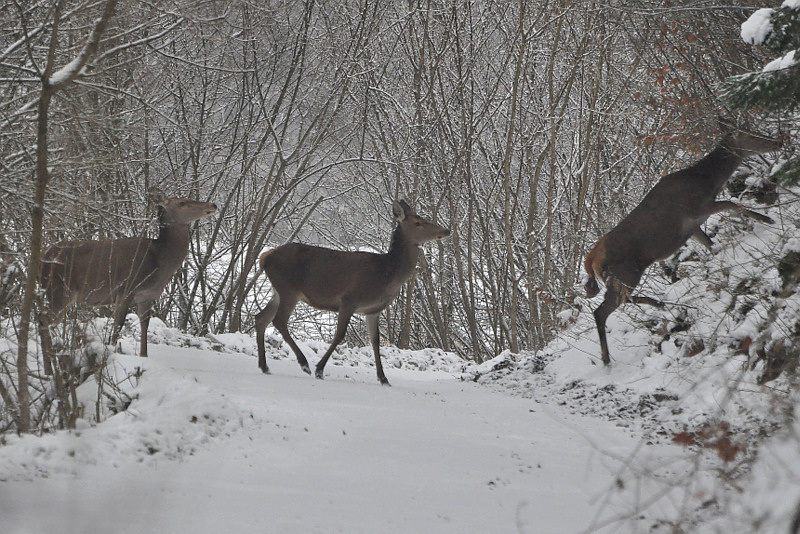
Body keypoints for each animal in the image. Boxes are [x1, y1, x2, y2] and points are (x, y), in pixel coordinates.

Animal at [39, 191, 217, 362]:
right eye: (182, 202)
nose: (212, 205)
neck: (158, 263)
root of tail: (42, 258)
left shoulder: (147, 296)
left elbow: (144, 326)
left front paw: (143, 355)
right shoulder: (125, 289)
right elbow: (118, 325)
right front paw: (110, 352)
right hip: (58, 289)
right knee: (45, 320)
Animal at [255, 200, 450, 386]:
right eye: (418, 223)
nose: (446, 230)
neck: (387, 275)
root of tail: (265, 257)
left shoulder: (373, 310)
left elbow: (375, 341)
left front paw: (383, 378)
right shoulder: (349, 300)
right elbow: (340, 334)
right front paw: (320, 369)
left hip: (278, 291)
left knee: (261, 318)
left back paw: (264, 366)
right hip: (288, 289)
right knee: (278, 320)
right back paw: (304, 364)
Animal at [580, 126, 780, 368]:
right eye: (751, 135)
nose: (778, 142)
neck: (707, 182)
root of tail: (590, 259)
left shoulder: (692, 227)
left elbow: (710, 244)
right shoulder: (697, 208)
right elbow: (732, 204)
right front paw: (766, 219)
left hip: (620, 278)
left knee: (622, 300)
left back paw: (658, 304)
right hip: (625, 272)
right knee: (602, 311)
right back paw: (606, 358)